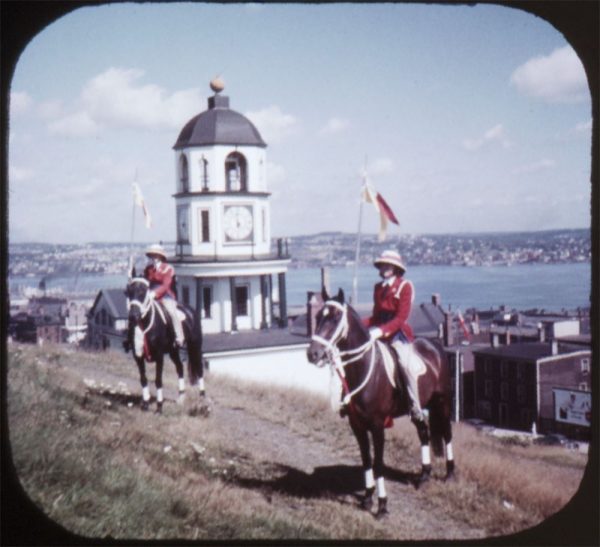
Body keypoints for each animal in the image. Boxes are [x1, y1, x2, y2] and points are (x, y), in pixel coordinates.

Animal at [124, 276, 206, 414]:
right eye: (129, 292)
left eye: (143, 291)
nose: (133, 316)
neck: (145, 325)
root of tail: (190, 310)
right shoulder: (138, 356)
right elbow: (143, 379)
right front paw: (145, 404)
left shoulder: (159, 356)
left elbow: (158, 380)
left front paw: (159, 407)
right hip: (173, 351)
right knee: (179, 368)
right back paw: (181, 397)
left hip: (195, 347)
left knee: (199, 369)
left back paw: (203, 398)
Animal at [308, 288, 452, 520]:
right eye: (319, 316)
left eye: (335, 317)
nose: (312, 354)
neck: (364, 367)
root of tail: (435, 345)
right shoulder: (357, 425)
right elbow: (366, 460)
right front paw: (367, 498)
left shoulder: (377, 426)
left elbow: (378, 464)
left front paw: (382, 506)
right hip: (417, 407)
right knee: (424, 432)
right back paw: (424, 476)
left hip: (443, 402)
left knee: (447, 433)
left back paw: (450, 474)